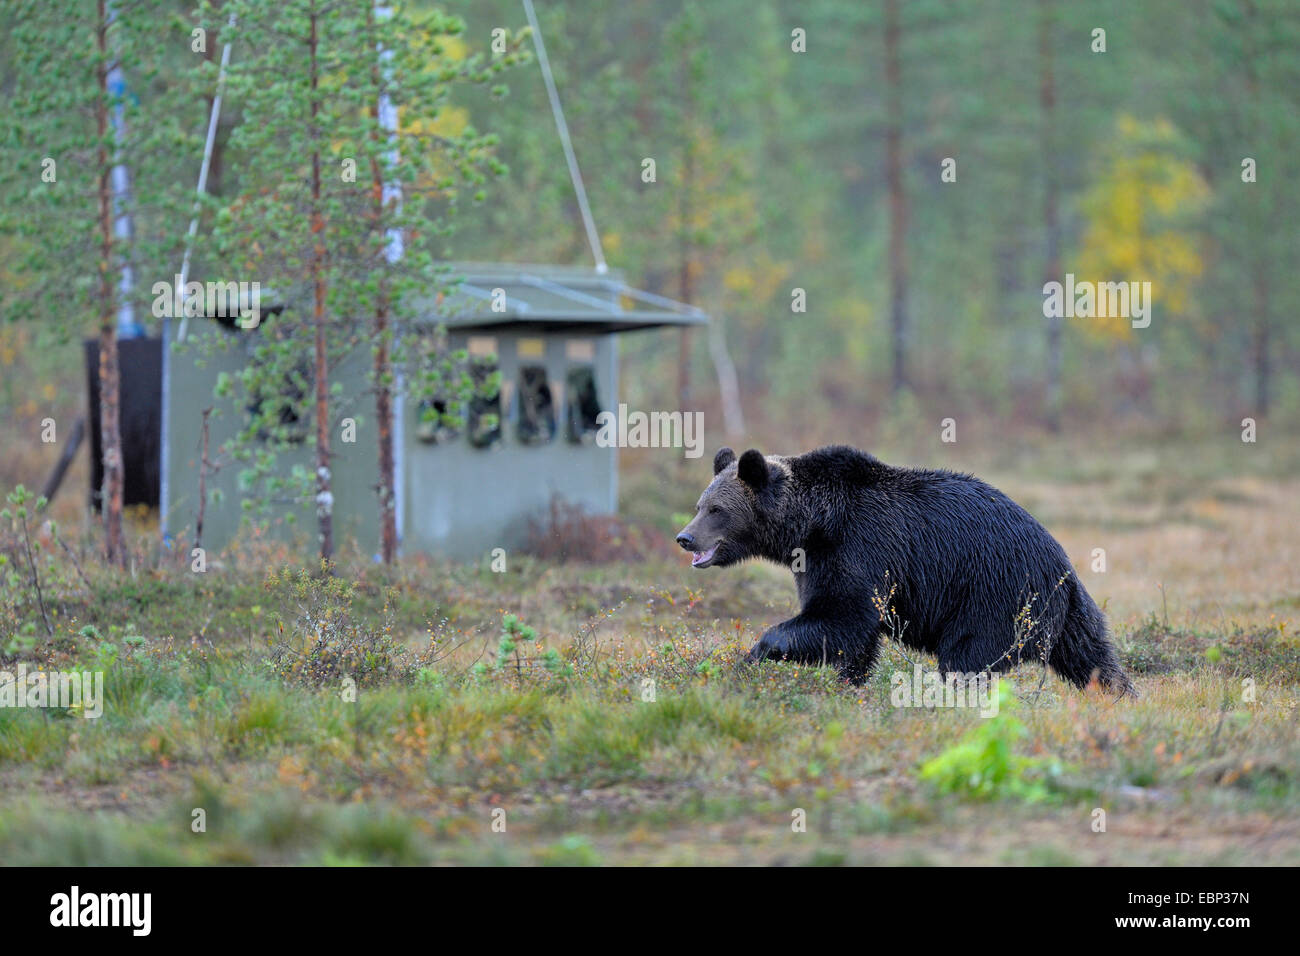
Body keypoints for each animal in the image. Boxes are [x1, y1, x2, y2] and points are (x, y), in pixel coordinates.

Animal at [676, 447, 1133, 697]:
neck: (810, 524)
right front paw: (847, 684)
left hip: (993, 595)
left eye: (716, 510)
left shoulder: (857, 550)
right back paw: (1121, 695)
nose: (685, 537)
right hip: (1069, 613)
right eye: (700, 504)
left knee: (967, 660)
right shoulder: (821, 559)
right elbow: (853, 639)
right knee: (1092, 657)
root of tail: (1064, 567)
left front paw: (752, 656)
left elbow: (841, 617)